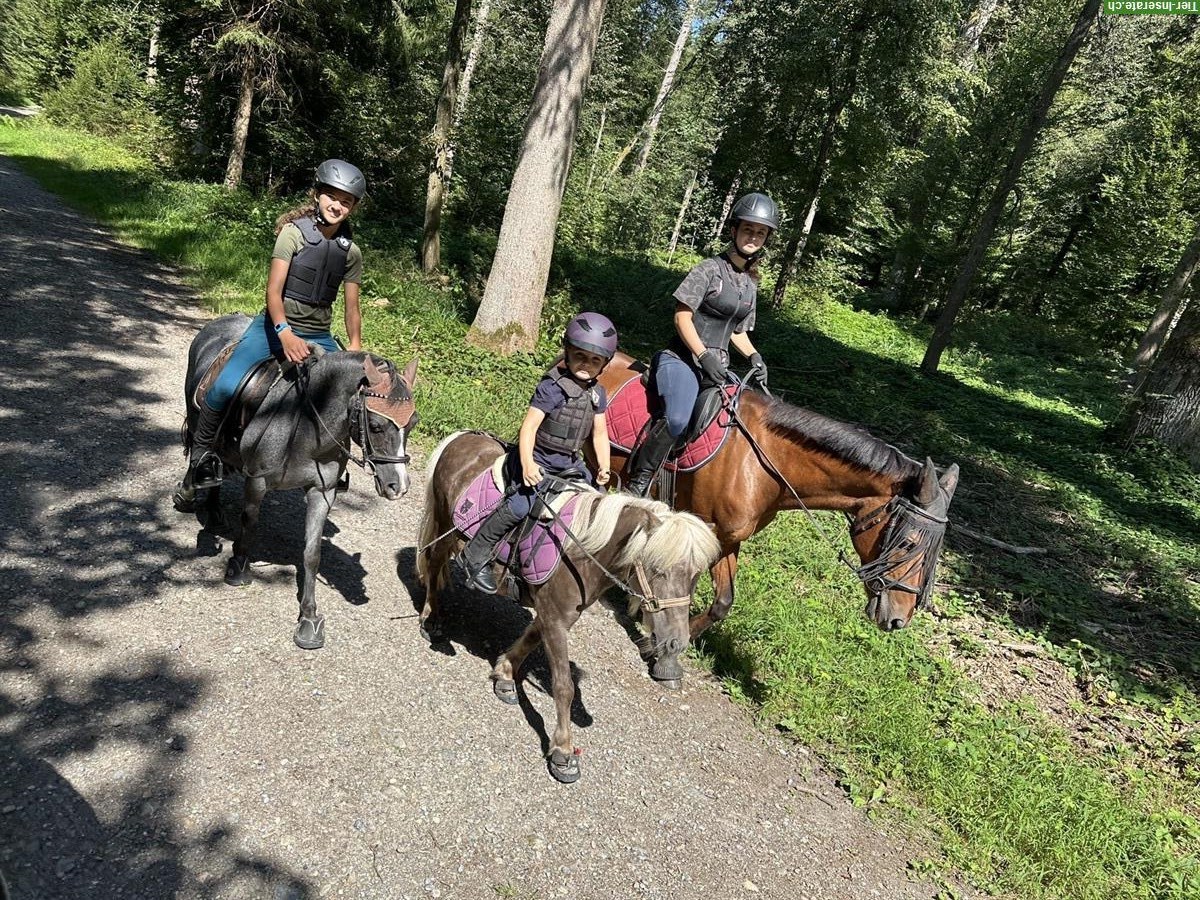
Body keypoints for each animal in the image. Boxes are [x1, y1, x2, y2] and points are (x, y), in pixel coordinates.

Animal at [171, 314, 420, 648]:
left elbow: (312, 554)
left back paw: (212, 508)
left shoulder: (322, 492)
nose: (399, 486)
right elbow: (249, 524)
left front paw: (309, 619)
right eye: (377, 426)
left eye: (413, 423)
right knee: (200, 450)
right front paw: (238, 567)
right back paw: (188, 493)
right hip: (198, 409)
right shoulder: (258, 481)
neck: (307, 426)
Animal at [420, 434, 720, 787]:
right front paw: (563, 751)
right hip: (444, 522)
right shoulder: (555, 619)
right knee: (433, 562)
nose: (676, 643)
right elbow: (564, 686)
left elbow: (530, 640)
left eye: (696, 576)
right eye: (657, 570)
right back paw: (431, 621)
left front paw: (505, 675)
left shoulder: (556, 616)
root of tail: (464, 436)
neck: (582, 550)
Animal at [597, 352, 955, 643]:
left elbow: (723, 602)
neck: (762, 461)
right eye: (907, 543)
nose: (899, 619)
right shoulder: (702, 526)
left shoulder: (727, 537)